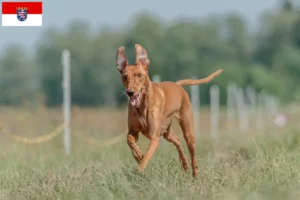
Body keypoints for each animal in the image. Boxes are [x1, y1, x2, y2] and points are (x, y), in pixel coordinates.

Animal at [116, 44, 223, 177]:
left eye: (139, 75)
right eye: (125, 77)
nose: (130, 92)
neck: (142, 106)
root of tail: (177, 85)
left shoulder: (155, 137)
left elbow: (147, 157)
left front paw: (140, 168)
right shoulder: (133, 131)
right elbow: (129, 140)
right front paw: (138, 154)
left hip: (187, 131)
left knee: (191, 151)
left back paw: (195, 172)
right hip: (167, 132)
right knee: (177, 140)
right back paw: (184, 163)